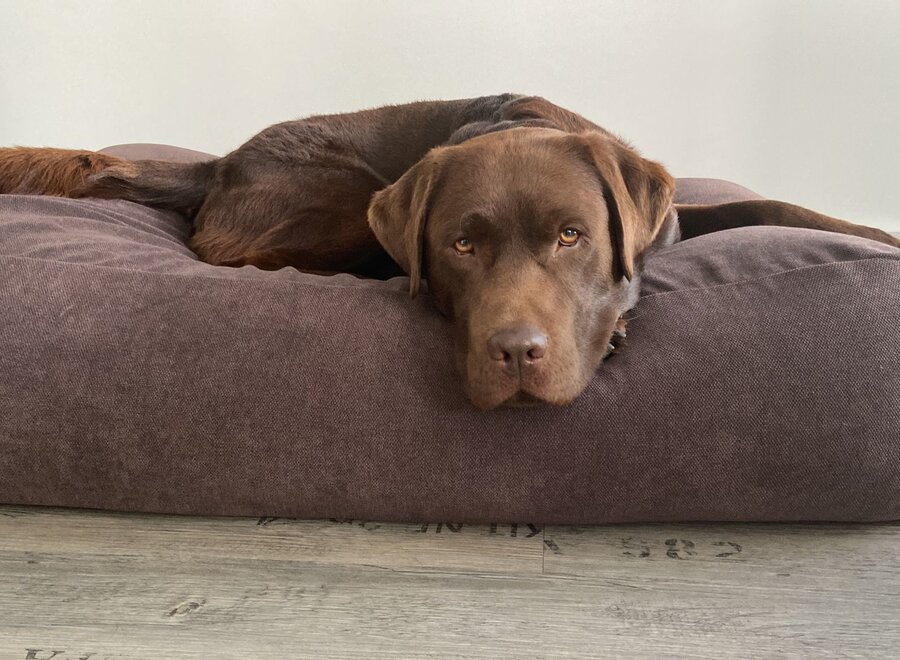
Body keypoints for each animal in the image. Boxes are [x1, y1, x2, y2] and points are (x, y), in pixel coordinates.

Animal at [3, 93, 896, 404]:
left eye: (572, 236)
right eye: (461, 246)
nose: (516, 353)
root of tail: (217, 164)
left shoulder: (676, 216)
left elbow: (760, 202)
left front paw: (874, 232)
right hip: (343, 196)